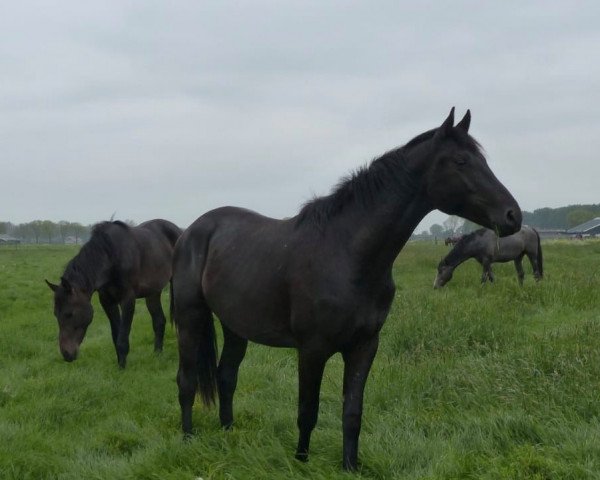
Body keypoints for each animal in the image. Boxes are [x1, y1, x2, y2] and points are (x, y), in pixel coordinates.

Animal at [45, 220, 180, 368]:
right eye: (55, 314)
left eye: (69, 314)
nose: (66, 354)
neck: (112, 257)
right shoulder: (107, 301)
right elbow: (116, 334)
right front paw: (120, 363)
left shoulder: (128, 299)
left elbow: (123, 335)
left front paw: (122, 367)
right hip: (153, 292)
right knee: (159, 321)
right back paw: (157, 354)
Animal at [171, 108, 524, 468]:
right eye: (461, 161)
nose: (513, 215)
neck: (348, 254)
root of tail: (191, 232)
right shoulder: (312, 350)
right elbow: (307, 411)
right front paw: (301, 462)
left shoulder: (364, 346)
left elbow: (352, 413)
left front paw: (350, 466)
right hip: (190, 318)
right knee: (187, 380)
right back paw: (187, 438)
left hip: (235, 325)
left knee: (227, 376)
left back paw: (228, 434)